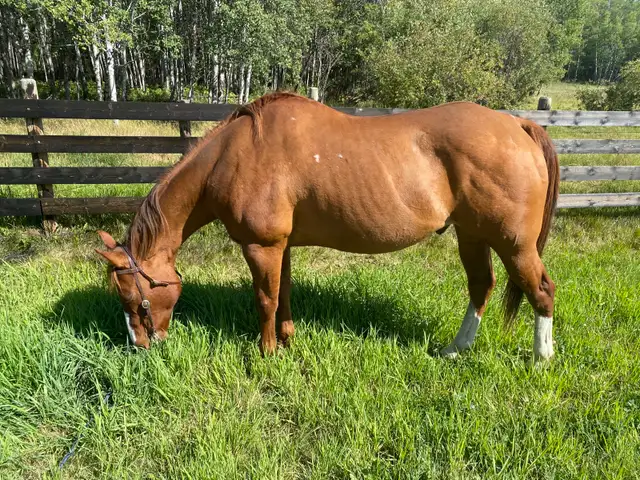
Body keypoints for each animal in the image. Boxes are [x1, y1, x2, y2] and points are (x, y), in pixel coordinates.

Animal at [96, 92, 559, 361]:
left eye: (132, 298)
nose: (139, 347)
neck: (235, 155)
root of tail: (516, 124)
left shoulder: (261, 246)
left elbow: (264, 299)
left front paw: (266, 353)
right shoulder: (281, 246)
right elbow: (283, 294)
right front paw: (286, 340)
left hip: (513, 242)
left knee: (541, 290)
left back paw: (542, 358)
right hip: (472, 234)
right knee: (482, 286)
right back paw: (453, 350)